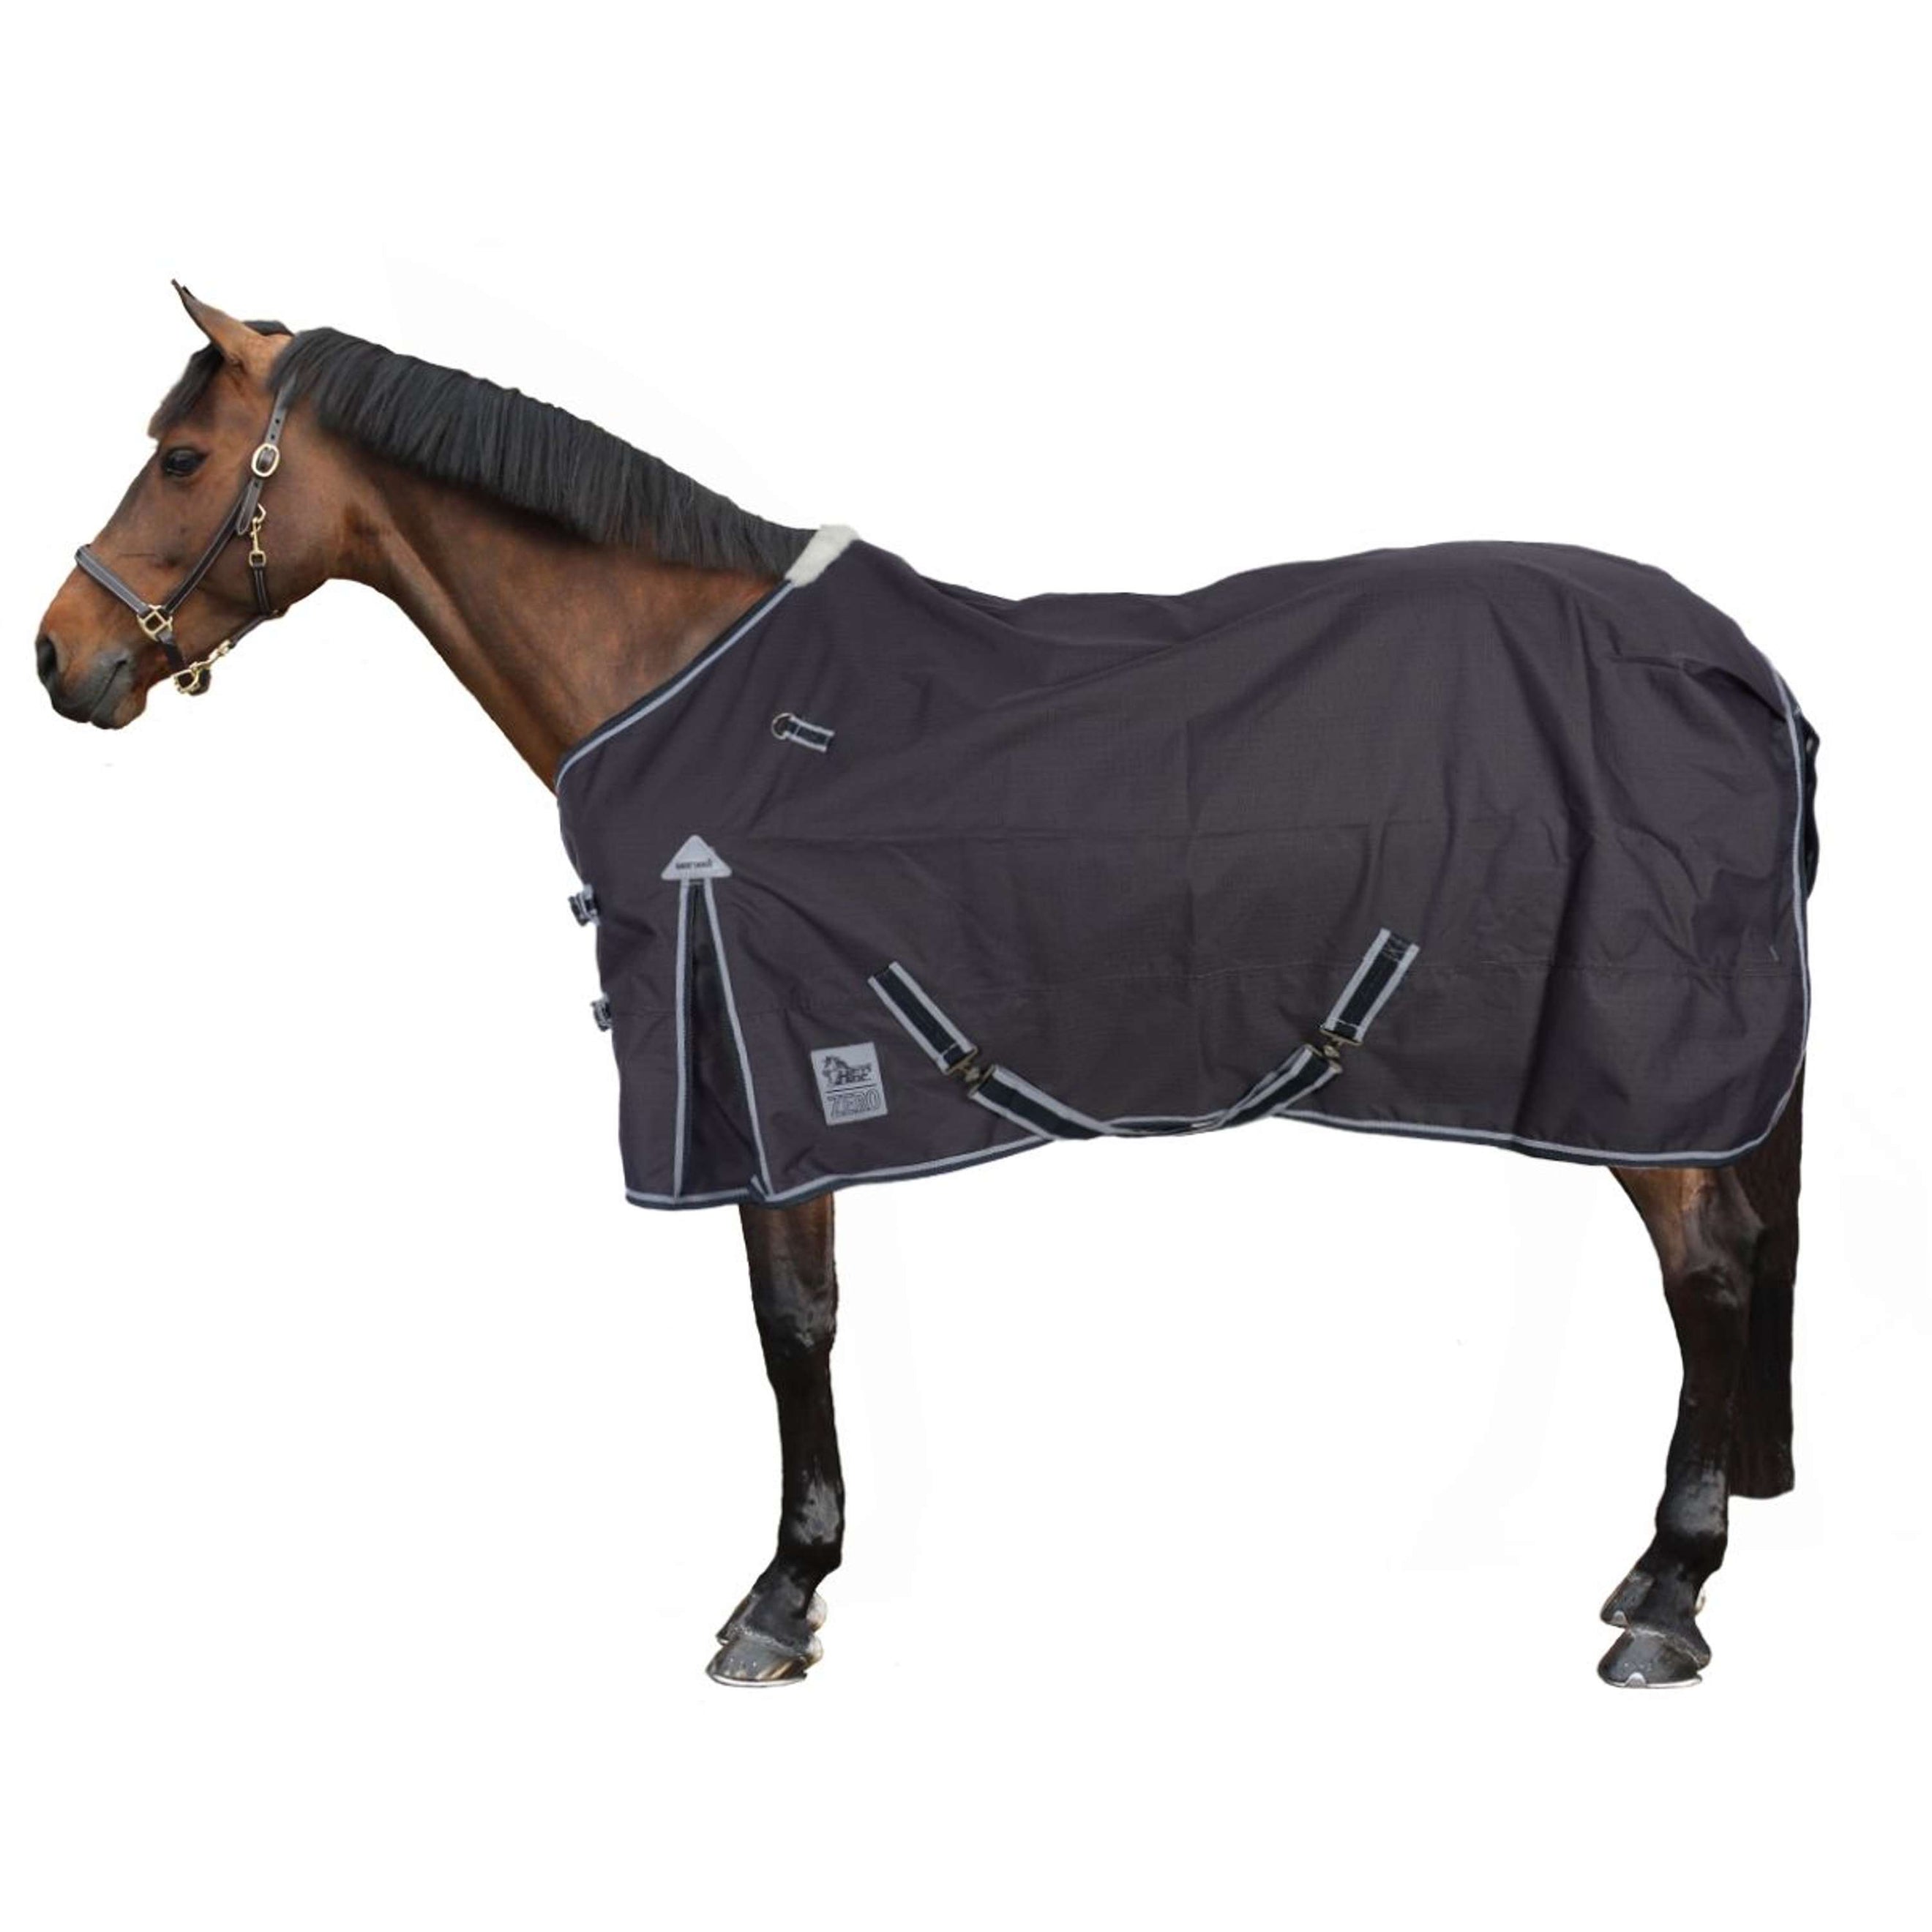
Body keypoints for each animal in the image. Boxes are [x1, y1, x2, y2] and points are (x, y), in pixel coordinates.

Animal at [34, 286, 1812, 1689]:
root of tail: (1726, 654)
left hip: (1645, 1057)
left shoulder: (763, 1062)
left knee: (1711, 1272)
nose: (61, 658)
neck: (688, 685)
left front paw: (781, 1596)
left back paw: (1669, 1597)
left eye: (182, 459)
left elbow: (791, 1324)